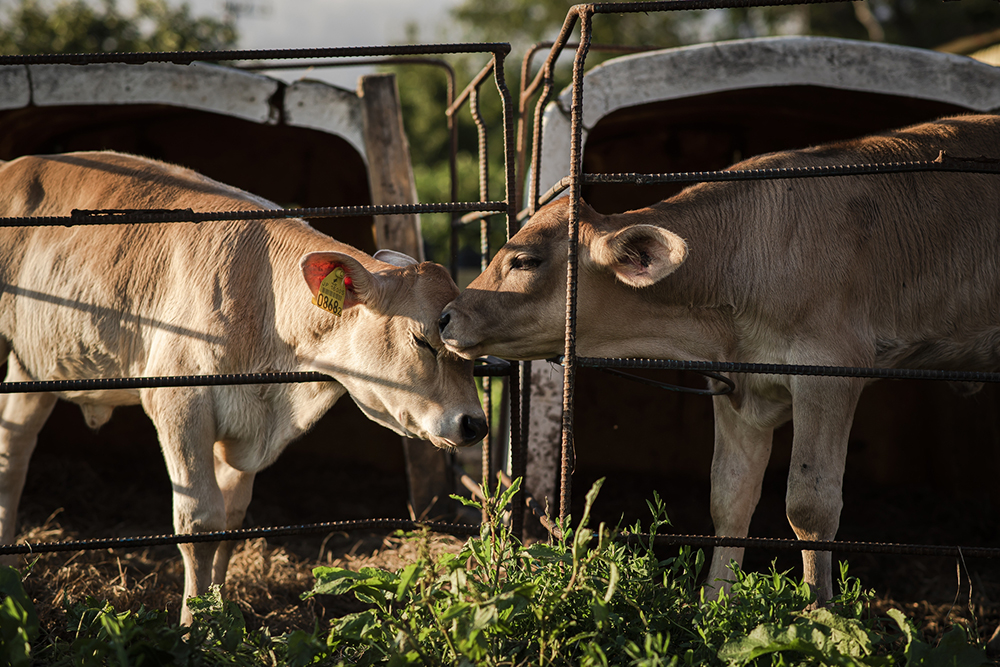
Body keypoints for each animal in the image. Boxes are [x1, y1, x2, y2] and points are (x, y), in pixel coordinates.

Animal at [0, 150, 488, 620]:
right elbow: (200, 524)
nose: (475, 424)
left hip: (30, 368)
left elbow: (232, 520)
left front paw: (219, 614)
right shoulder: (180, 405)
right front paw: (195, 626)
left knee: (13, 451)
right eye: (421, 339)